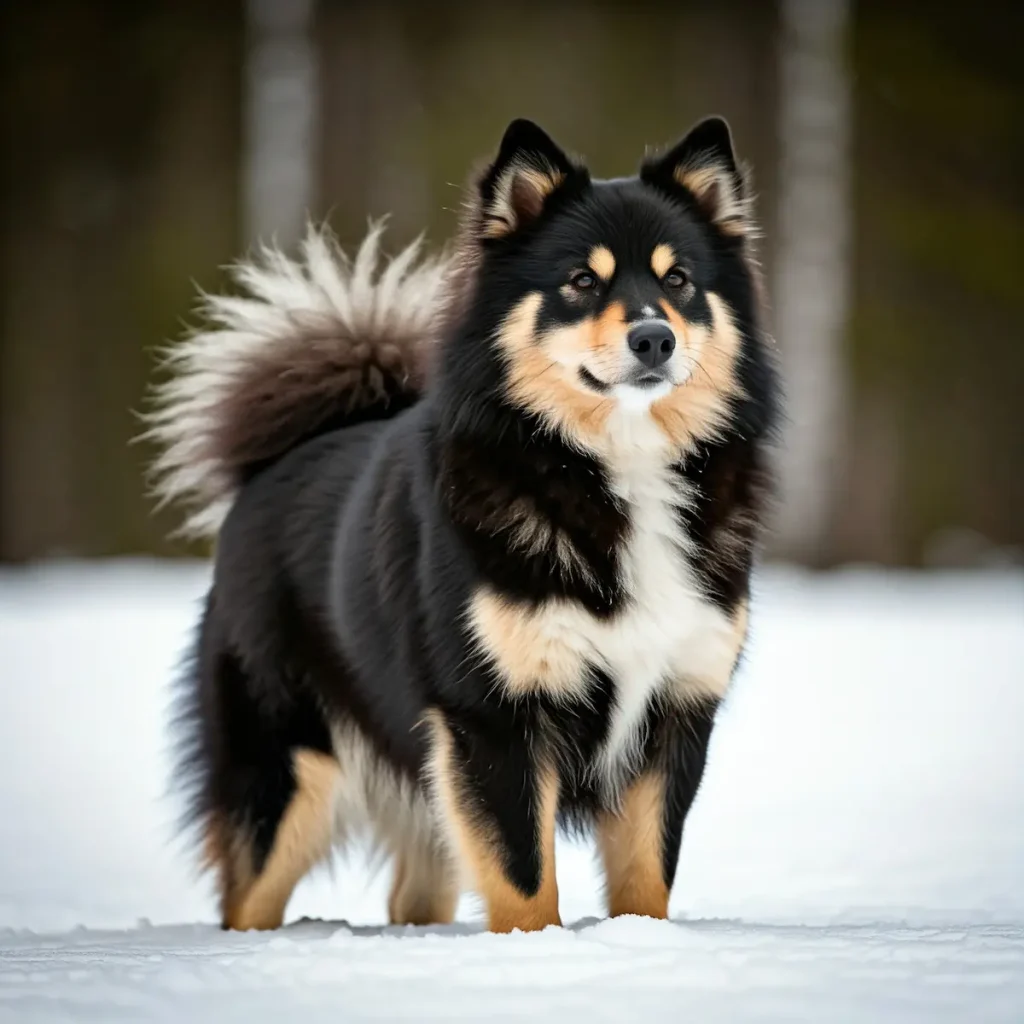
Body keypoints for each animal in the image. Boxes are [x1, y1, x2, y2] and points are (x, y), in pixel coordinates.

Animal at [148, 116, 778, 933]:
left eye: (678, 282)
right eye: (581, 281)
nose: (654, 339)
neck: (612, 470)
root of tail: (279, 461)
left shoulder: (674, 713)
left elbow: (646, 883)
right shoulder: (493, 718)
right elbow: (525, 881)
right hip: (286, 769)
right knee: (247, 895)